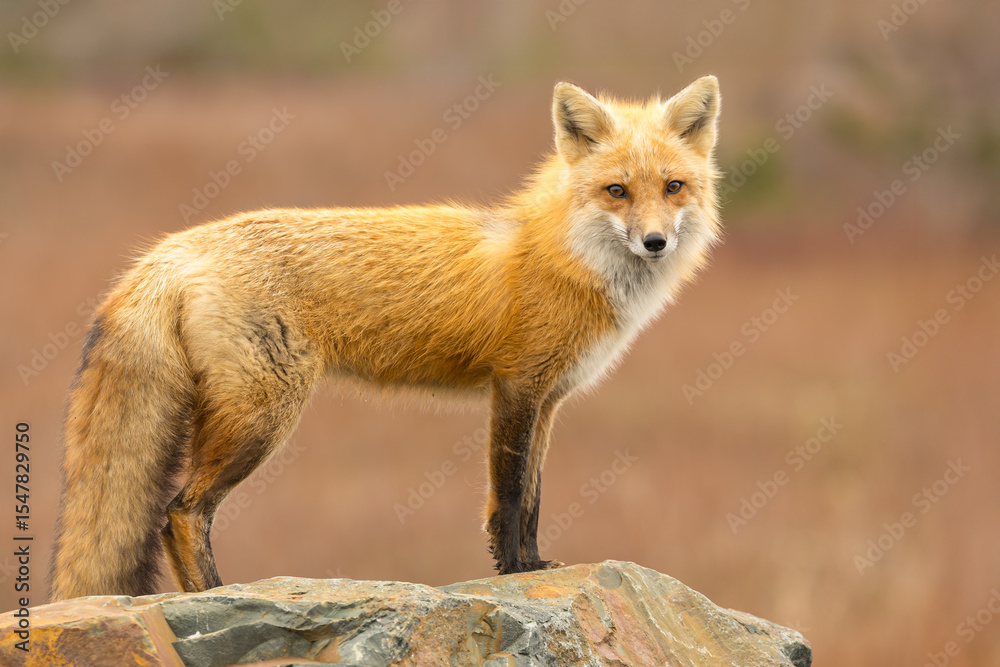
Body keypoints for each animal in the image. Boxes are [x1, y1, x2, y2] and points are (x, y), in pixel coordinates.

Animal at [49, 76, 723, 601]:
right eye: (617, 191)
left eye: (673, 187)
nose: (655, 242)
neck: (568, 255)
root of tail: (167, 251)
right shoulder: (516, 387)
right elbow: (508, 496)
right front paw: (513, 571)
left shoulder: (548, 400)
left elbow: (532, 496)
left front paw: (533, 565)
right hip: (261, 417)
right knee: (180, 514)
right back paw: (217, 597)